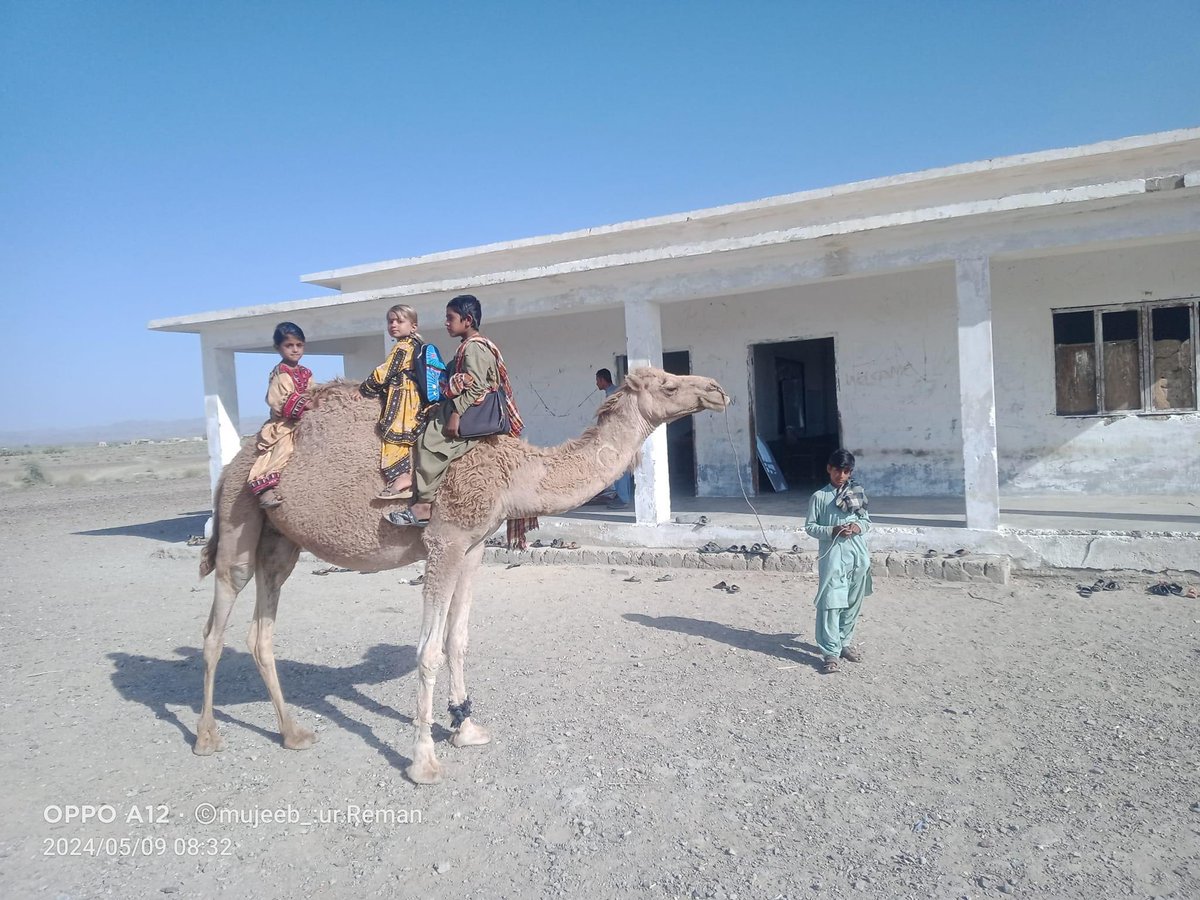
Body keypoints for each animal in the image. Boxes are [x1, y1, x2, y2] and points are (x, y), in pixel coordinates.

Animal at [195, 366, 729, 783]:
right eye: (667, 384)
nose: (717, 389)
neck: (514, 474)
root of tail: (232, 464)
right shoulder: (444, 541)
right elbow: (428, 649)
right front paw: (424, 761)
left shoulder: (473, 548)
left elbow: (458, 638)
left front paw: (466, 727)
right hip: (238, 522)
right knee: (216, 625)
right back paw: (206, 737)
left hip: (279, 541)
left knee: (261, 630)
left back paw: (293, 733)